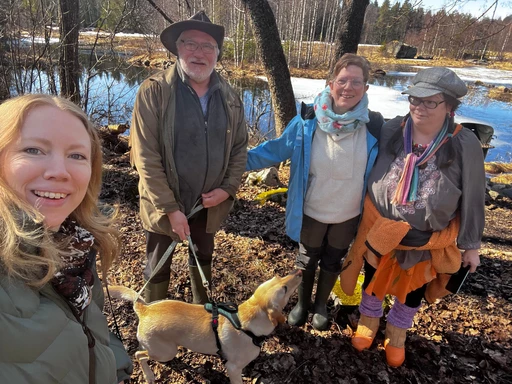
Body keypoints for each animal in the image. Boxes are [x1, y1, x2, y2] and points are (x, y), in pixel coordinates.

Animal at [108, 268, 300, 384]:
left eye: (278, 276)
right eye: (284, 288)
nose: (299, 271)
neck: (244, 323)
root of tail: (144, 309)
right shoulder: (233, 368)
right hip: (166, 352)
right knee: (138, 355)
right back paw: (149, 375)